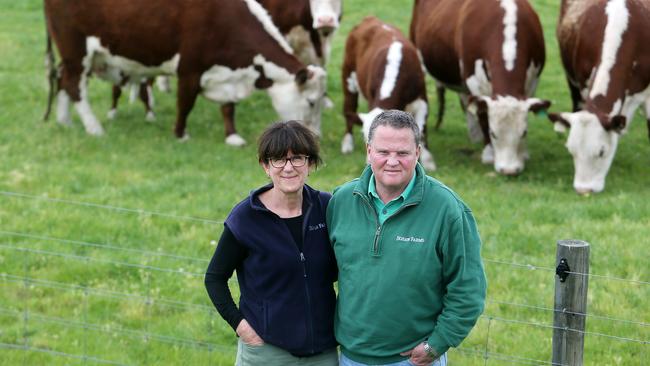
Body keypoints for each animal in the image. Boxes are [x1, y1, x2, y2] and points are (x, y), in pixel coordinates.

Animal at [43, 0, 326, 145]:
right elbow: (185, 103)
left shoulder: (227, 73)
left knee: (64, 81)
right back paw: (93, 127)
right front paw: (180, 134)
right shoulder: (190, 68)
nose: (317, 139)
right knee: (74, 85)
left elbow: (228, 106)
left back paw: (65, 120)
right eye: (311, 102)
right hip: (75, 49)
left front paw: (232, 135)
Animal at [340, 16, 436, 171]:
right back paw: (347, 144)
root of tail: (370, 18)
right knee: (349, 108)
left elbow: (422, 131)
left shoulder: (422, 100)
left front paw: (428, 161)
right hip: (348, 76)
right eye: (365, 137)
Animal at [410, 0, 548, 176]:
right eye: (493, 134)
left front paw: (524, 154)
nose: (509, 170)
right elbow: (483, 114)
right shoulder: (474, 80)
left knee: (466, 100)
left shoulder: (533, 82)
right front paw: (488, 153)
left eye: (523, 133)